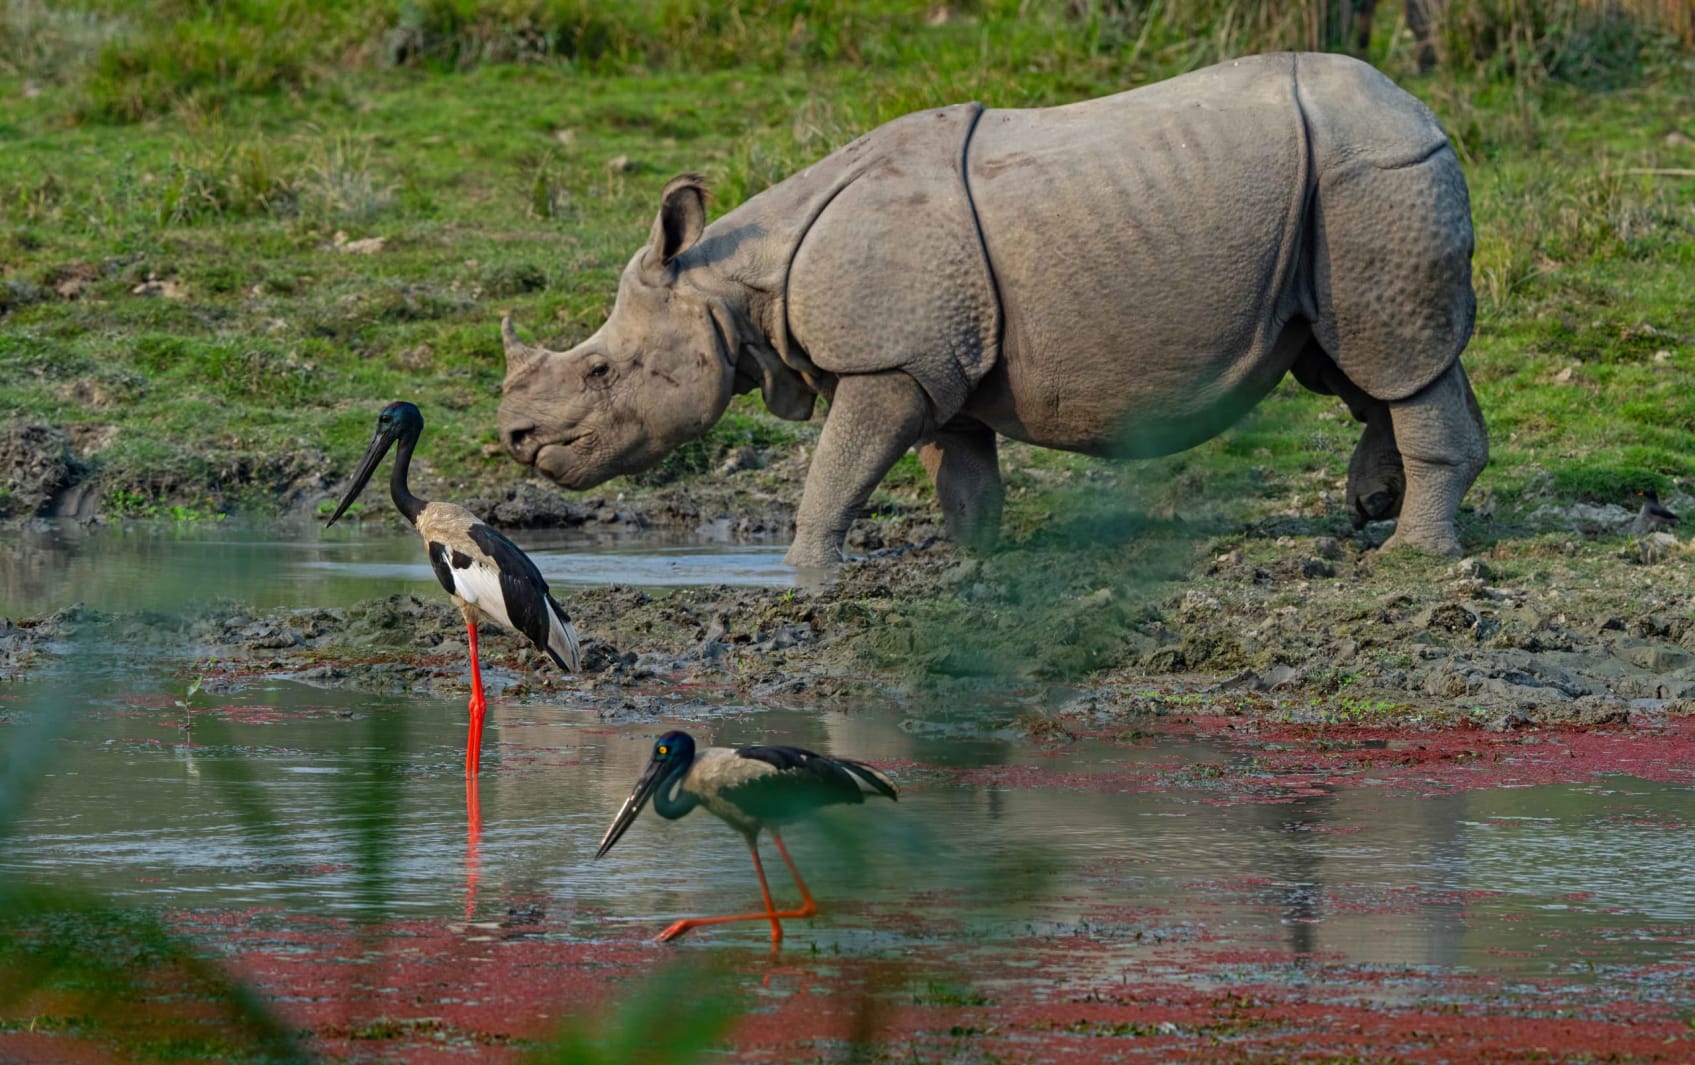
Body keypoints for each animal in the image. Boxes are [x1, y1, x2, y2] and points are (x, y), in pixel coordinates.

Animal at [499, 52, 1487, 569]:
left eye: (601, 369)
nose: (514, 438)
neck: (739, 285)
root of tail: (1421, 111)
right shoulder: (934, 360)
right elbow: (963, 476)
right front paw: (973, 563)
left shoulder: (887, 360)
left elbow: (836, 471)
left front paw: (801, 571)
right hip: (1345, 189)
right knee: (1356, 357)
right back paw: (1375, 501)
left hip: (1370, 179)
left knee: (1388, 356)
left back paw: (1407, 557)